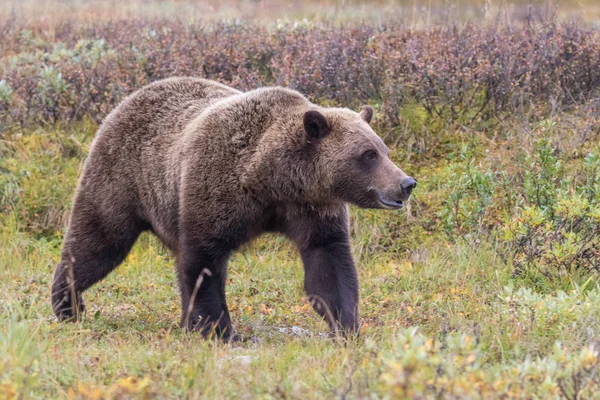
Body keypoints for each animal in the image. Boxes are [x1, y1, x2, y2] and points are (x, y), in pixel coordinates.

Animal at [50, 78, 418, 340]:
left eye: (383, 149)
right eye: (367, 155)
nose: (406, 183)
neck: (273, 181)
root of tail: (126, 100)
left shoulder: (312, 209)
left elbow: (328, 264)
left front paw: (347, 326)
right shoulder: (215, 188)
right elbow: (204, 260)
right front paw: (221, 331)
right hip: (123, 176)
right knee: (99, 238)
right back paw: (67, 303)